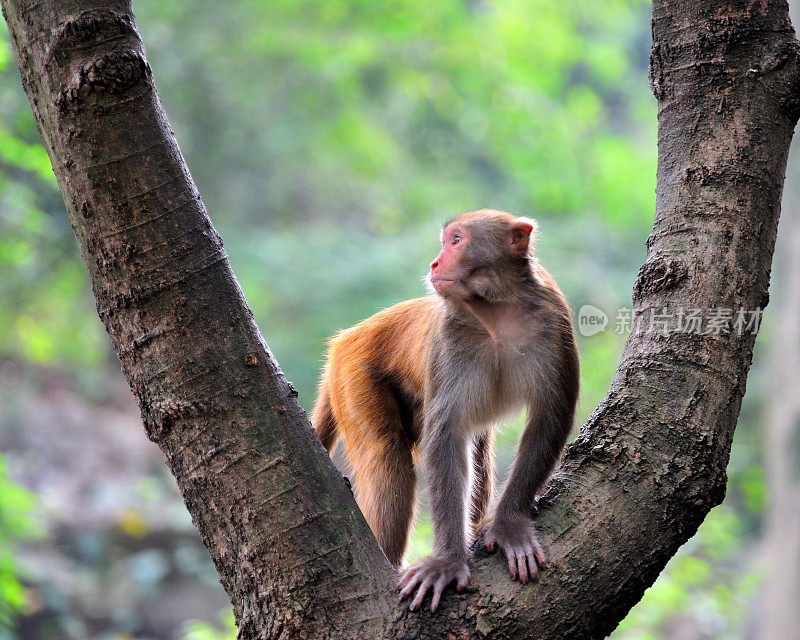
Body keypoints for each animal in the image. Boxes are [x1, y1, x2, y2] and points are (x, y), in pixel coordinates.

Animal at [310, 209, 580, 608]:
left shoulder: (553, 321)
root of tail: (346, 339)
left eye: (456, 240)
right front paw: (448, 562)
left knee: (477, 456)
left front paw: (508, 524)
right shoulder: (449, 340)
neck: (495, 311)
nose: (435, 263)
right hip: (354, 374)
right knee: (388, 457)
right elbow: (445, 439)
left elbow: (550, 417)